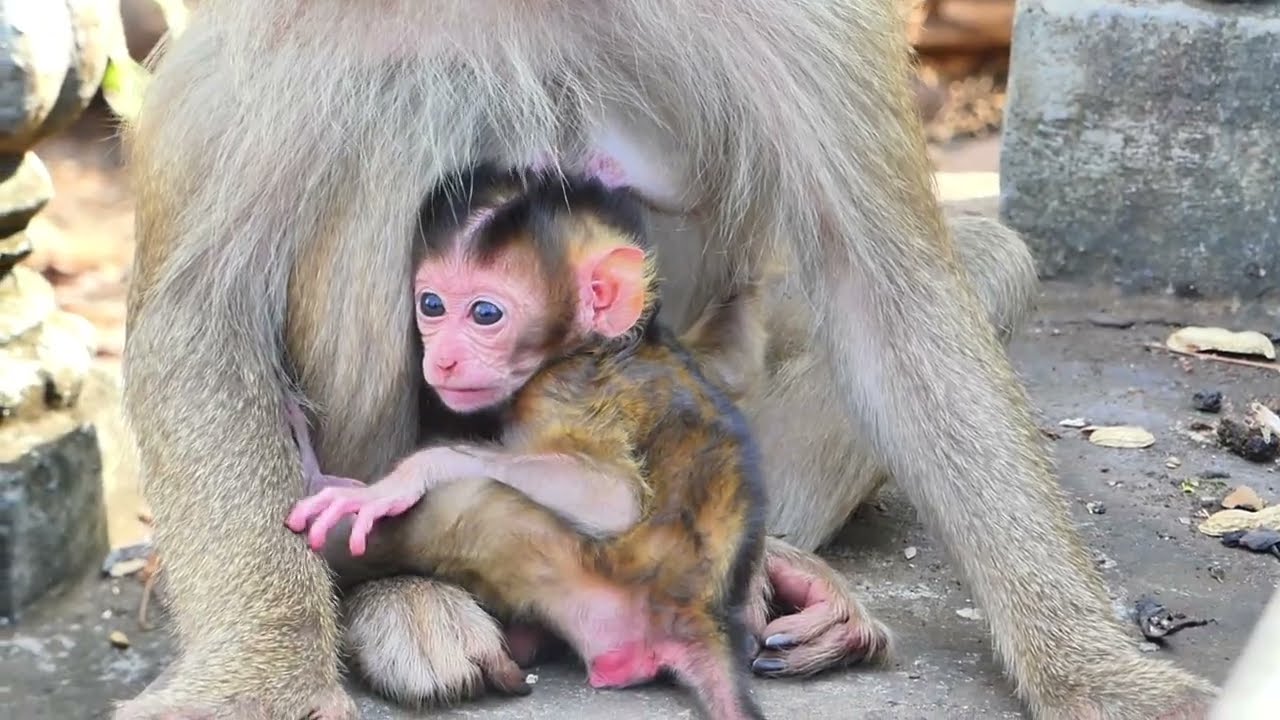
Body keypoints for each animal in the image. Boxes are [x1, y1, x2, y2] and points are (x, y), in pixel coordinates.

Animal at [282, 164, 769, 719]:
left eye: (485, 314)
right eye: (431, 305)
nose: (442, 360)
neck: (592, 346)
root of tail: (700, 616)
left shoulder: (568, 391)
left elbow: (612, 499)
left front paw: (404, 478)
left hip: (581, 587)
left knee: (465, 505)